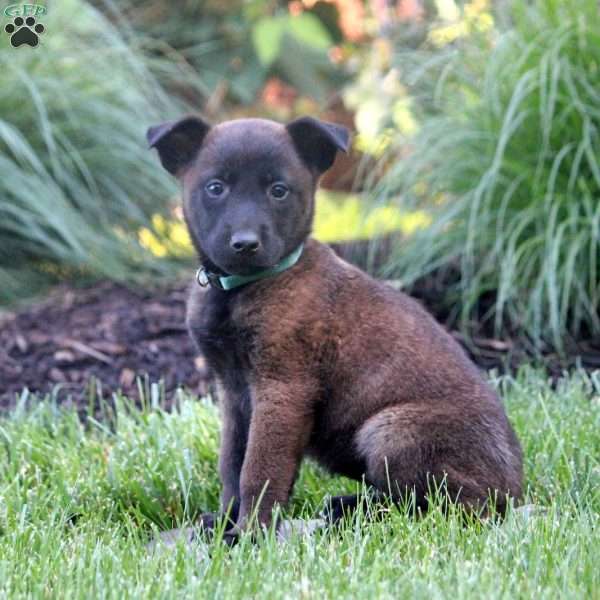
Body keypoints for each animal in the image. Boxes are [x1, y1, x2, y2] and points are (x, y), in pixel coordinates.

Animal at [148, 115, 524, 536]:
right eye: (215, 188)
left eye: (279, 191)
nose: (245, 244)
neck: (244, 288)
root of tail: (515, 495)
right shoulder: (232, 394)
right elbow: (231, 464)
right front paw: (226, 522)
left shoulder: (281, 389)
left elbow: (258, 469)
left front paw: (250, 534)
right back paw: (346, 509)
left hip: (390, 429)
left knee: (445, 509)